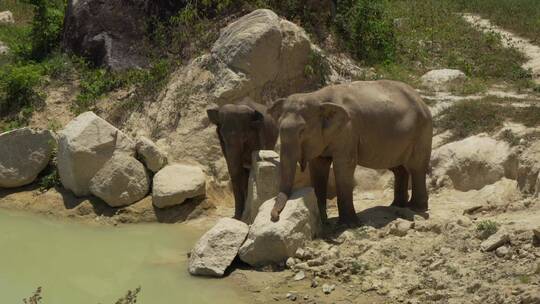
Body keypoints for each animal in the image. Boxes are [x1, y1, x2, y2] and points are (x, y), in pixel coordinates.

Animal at [270, 79, 434, 224]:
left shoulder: (348, 131)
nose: (274, 217)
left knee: (416, 167)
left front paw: (348, 224)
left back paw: (416, 208)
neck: (318, 97)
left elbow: (343, 166)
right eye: (278, 127)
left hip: (422, 131)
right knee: (398, 168)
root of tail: (421, 100)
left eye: (302, 130)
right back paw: (396, 205)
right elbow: (318, 168)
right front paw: (325, 223)